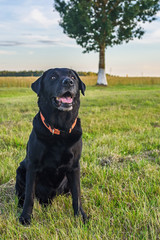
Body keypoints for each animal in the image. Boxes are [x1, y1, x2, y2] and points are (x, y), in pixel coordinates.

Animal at [15, 67, 87, 225]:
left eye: (73, 77)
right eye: (53, 77)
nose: (69, 82)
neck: (60, 129)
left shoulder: (74, 167)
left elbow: (77, 194)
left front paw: (80, 215)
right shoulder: (32, 166)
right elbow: (29, 196)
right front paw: (25, 217)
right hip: (21, 170)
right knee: (22, 195)